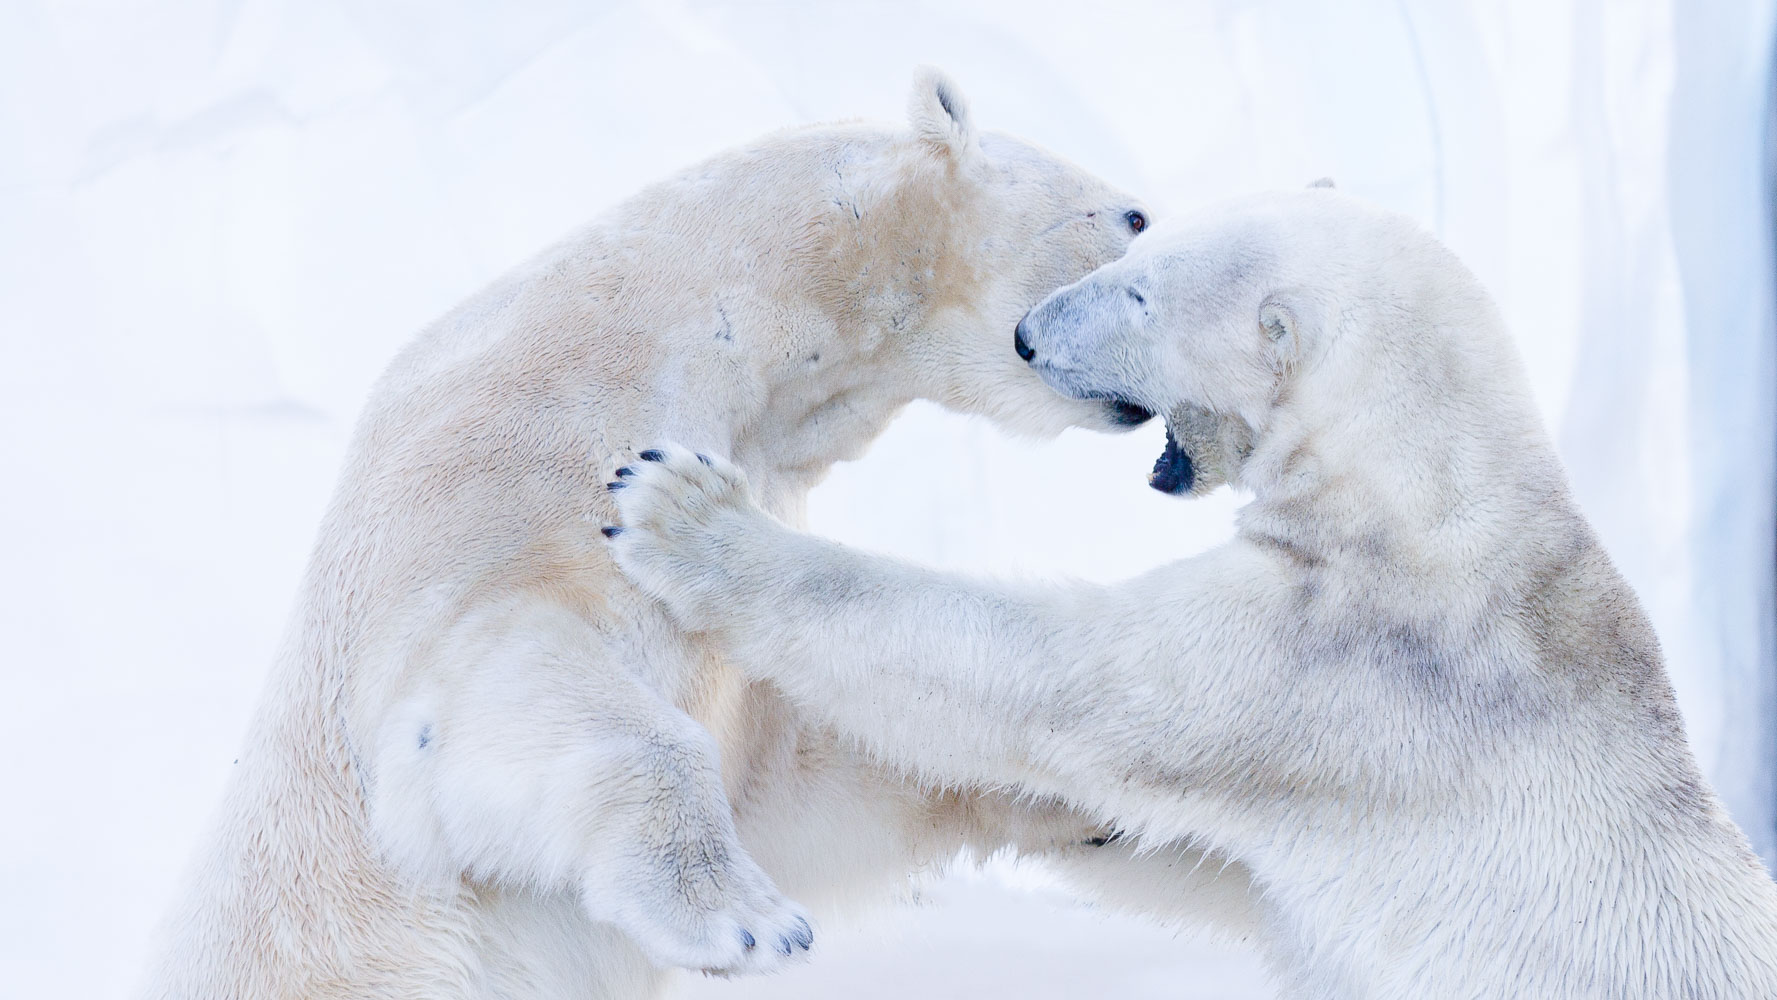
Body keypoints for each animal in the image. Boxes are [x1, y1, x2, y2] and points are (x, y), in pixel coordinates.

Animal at [145, 72, 1158, 1000]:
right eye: (1138, 217)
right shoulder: (499, 477)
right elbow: (484, 687)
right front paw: (747, 921)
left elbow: (806, 778)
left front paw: (1087, 799)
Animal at [607, 190, 1777, 1000]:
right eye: (1133, 245)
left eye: (1139, 294)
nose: (1027, 332)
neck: (1435, 500)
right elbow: (1213, 865)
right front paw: (1054, 822)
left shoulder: (1342, 668)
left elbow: (1056, 679)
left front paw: (674, 510)